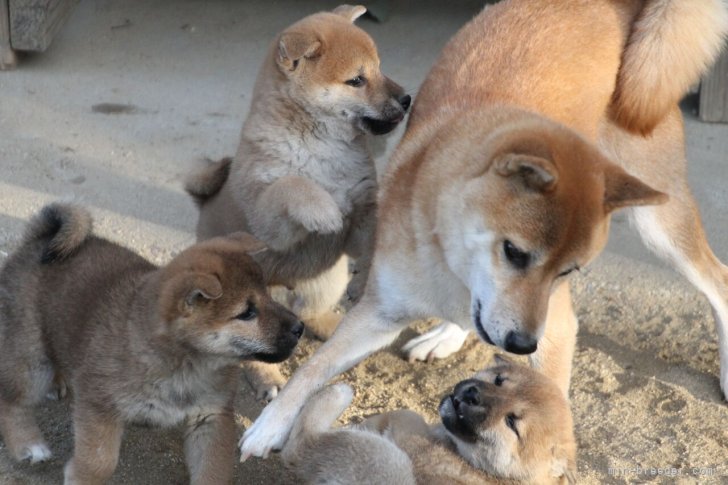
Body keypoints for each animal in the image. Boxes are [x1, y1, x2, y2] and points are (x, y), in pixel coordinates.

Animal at [0, 202, 304, 482]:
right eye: (247, 313)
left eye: (268, 295)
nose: (300, 328)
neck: (183, 364)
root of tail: (37, 240)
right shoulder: (99, 405)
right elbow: (99, 461)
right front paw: (82, 477)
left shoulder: (210, 417)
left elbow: (212, 470)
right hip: (31, 361)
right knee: (11, 401)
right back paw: (29, 445)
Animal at [186, 4, 410, 400]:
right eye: (356, 80)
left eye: (380, 68)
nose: (407, 99)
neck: (321, 147)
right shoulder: (269, 224)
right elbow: (291, 185)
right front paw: (323, 209)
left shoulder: (364, 211)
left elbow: (372, 241)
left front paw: (365, 281)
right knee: (254, 351)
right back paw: (268, 379)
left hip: (327, 279)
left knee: (309, 314)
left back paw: (333, 325)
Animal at [242, 0, 728, 458]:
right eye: (514, 252)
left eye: (568, 271)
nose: (522, 345)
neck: (453, 270)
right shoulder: (379, 313)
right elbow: (312, 368)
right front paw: (269, 425)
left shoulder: (555, 327)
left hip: (660, 224)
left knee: (718, 280)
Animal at [282, 356, 576, 484]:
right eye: (499, 380)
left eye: (512, 423)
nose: (471, 394)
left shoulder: (411, 445)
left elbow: (406, 414)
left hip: (389, 462)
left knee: (299, 447)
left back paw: (338, 392)